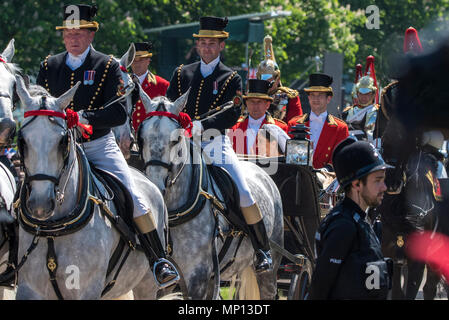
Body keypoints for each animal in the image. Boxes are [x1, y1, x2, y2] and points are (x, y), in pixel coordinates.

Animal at [14, 75, 168, 300]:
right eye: (22, 140)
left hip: (146, 285)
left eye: (62, 141)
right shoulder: (29, 288)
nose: (40, 205)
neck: (55, 229)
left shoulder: (87, 289)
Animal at [136, 90, 284, 300]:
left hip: (269, 272)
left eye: (176, 140)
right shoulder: (164, 275)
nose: (155, 184)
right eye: (141, 138)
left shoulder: (196, 276)